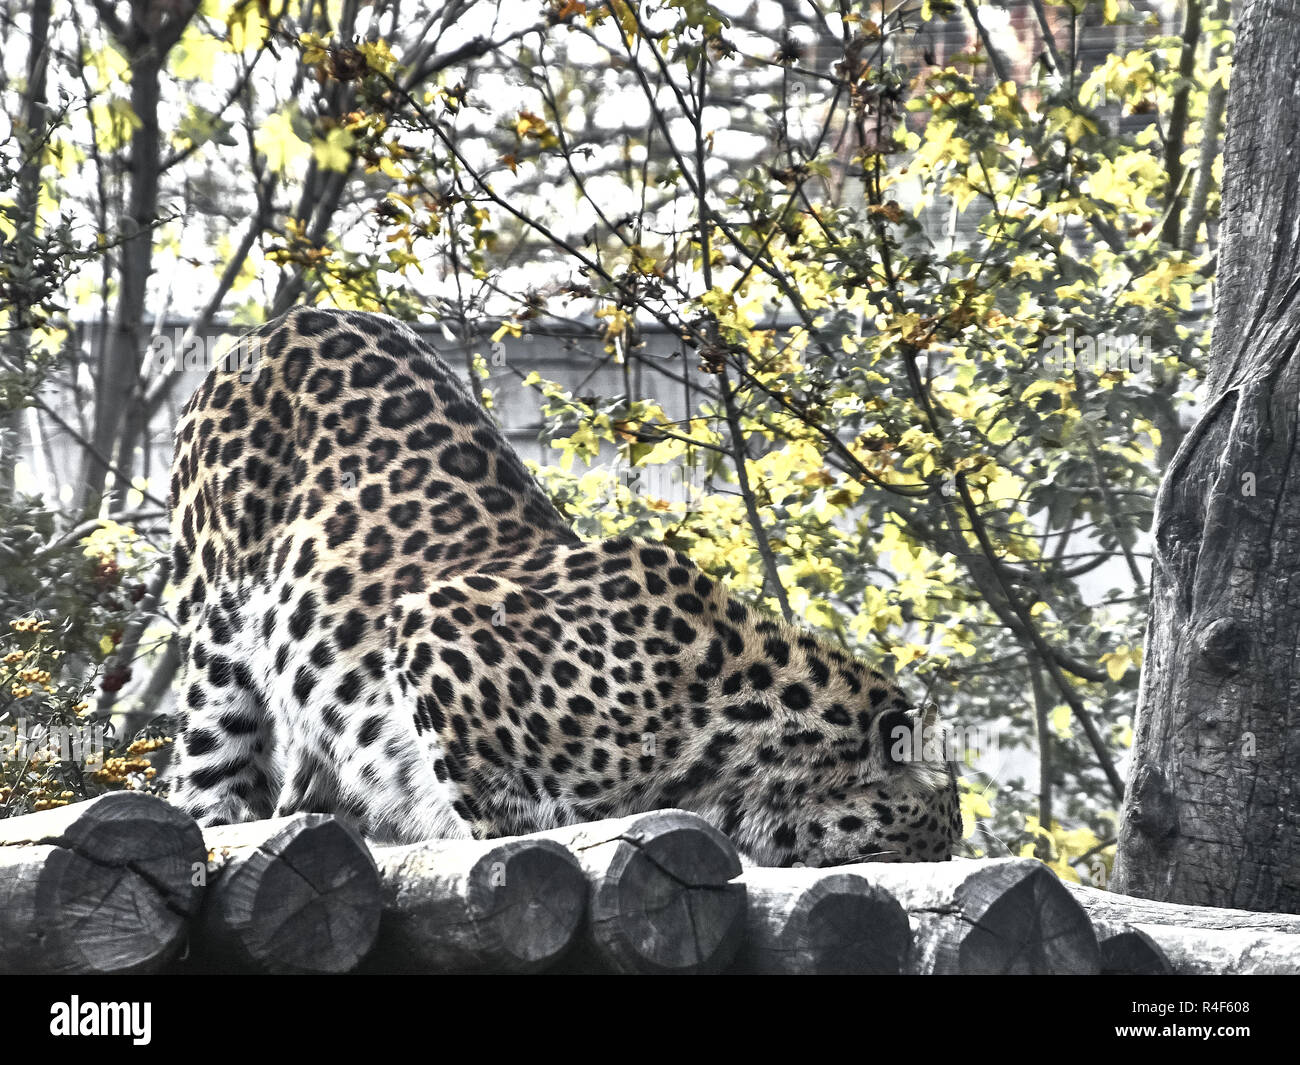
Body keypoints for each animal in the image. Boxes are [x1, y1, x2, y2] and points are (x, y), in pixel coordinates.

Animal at [165, 305, 967, 868]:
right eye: (940, 830)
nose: (951, 855)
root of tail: (271, 326)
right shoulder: (435, 631)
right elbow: (504, 823)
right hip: (219, 633)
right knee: (205, 777)